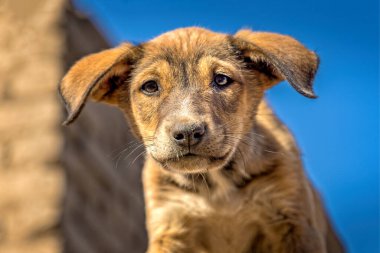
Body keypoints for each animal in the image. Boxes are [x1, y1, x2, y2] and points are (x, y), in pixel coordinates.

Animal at [58, 27, 344, 253]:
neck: (215, 186)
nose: (187, 133)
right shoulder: (171, 225)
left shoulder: (294, 221)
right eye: (150, 87)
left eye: (221, 80)